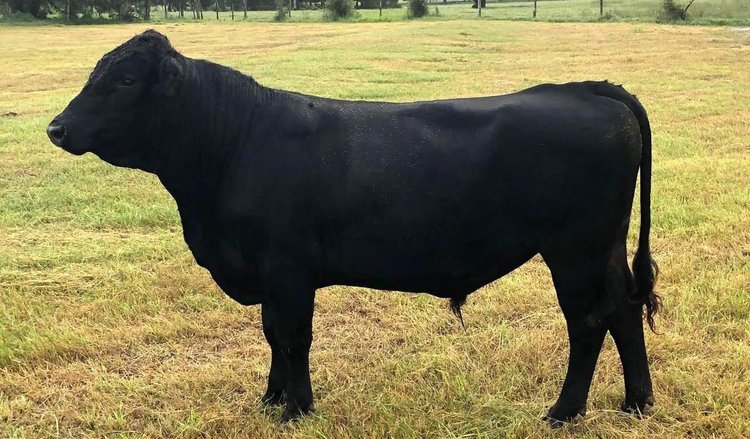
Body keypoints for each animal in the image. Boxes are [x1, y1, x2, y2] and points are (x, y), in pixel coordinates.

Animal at [47, 30, 660, 426]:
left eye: (126, 79)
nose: (56, 128)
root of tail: (586, 88)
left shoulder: (286, 267)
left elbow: (290, 335)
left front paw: (295, 409)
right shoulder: (270, 274)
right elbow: (271, 333)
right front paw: (272, 400)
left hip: (575, 249)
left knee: (588, 323)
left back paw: (564, 412)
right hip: (604, 248)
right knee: (624, 311)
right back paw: (637, 403)